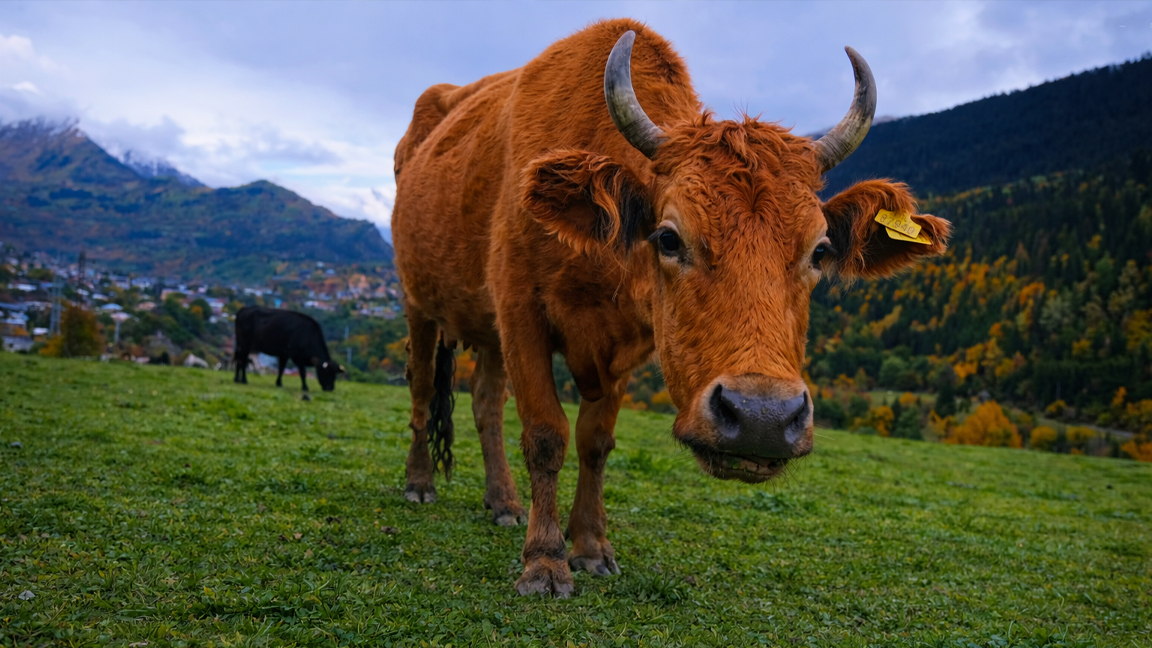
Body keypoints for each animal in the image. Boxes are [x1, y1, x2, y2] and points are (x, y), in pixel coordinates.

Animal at [391, 19, 950, 597]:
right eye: (668, 237)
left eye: (819, 251)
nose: (763, 418)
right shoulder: (521, 313)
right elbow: (546, 434)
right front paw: (545, 562)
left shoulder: (623, 347)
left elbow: (595, 441)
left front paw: (590, 546)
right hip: (418, 301)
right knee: (420, 388)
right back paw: (419, 483)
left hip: (485, 330)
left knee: (485, 402)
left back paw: (503, 501)